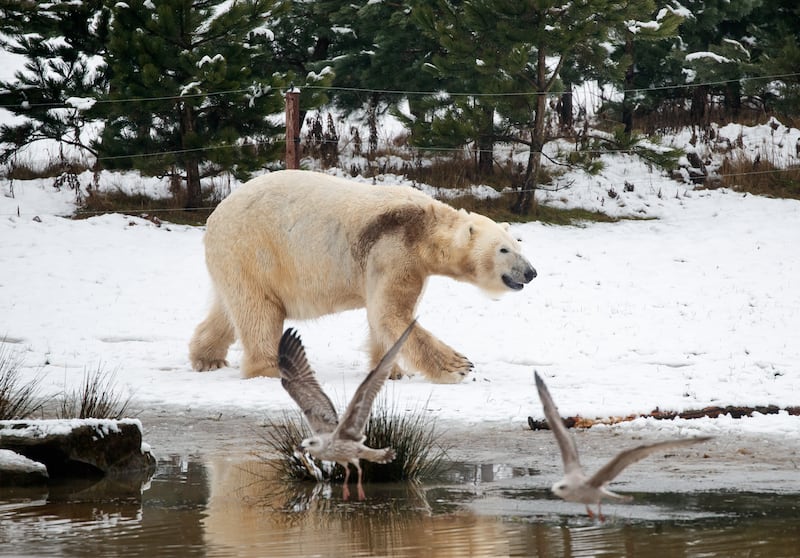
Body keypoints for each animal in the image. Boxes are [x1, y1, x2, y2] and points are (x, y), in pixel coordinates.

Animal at [189, 168, 536, 382]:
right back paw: (269, 368)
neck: (423, 227)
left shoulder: (402, 262)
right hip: (254, 248)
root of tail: (215, 216)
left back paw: (208, 359)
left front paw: (392, 373)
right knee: (259, 311)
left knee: (229, 308)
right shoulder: (394, 251)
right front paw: (459, 366)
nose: (531, 272)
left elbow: (382, 318)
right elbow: (391, 313)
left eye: (518, 243)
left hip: (235, 260)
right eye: (504, 250)